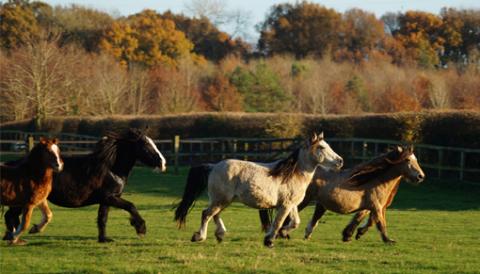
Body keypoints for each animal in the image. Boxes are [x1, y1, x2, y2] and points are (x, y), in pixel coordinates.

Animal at [3, 128, 167, 242]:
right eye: (145, 145)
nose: (163, 163)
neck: (111, 169)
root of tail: (15, 165)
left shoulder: (106, 200)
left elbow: (102, 218)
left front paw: (104, 239)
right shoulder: (110, 197)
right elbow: (131, 206)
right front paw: (140, 228)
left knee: (11, 216)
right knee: (10, 216)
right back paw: (15, 236)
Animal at [174, 133, 344, 248]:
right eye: (321, 147)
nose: (340, 161)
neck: (291, 174)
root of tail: (213, 166)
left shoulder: (292, 204)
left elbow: (295, 222)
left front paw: (283, 233)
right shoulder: (285, 205)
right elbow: (278, 222)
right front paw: (269, 240)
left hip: (223, 200)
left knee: (214, 215)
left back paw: (220, 235)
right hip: (220, 199)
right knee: (206, 214)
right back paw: (199, 237)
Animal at [260, 147, 426, 243]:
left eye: (416, 160)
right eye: (407, 160)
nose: (420, 176)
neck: (375, 179)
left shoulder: (371, 206)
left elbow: (364, 219)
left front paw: (350, 234)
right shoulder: (377, 206)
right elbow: (379, 223)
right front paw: (388, 240)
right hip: (302, 200)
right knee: (285, 214)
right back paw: (282, 234)